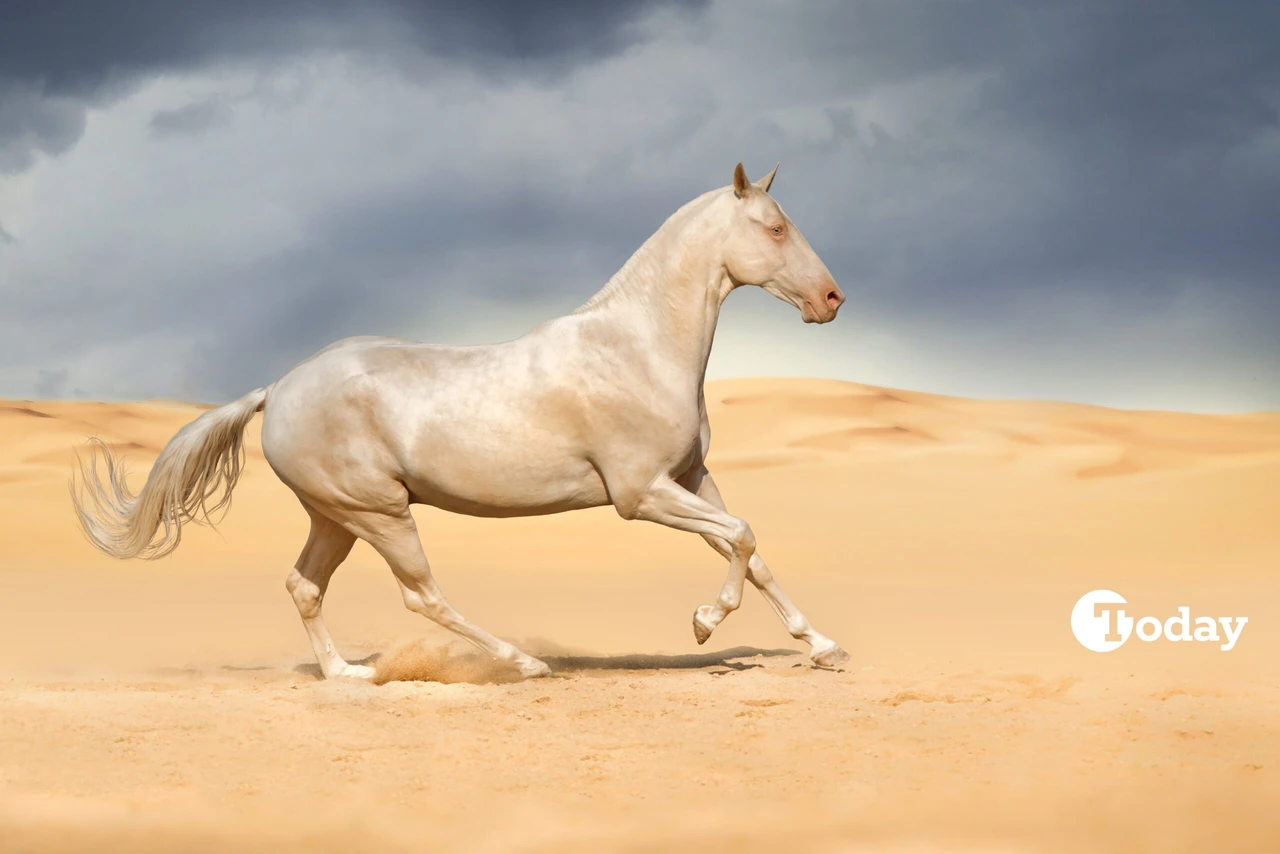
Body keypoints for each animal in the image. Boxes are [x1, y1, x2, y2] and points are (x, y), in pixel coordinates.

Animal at [70, 161, 849, 681]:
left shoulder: (690, 478)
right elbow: (742, 539)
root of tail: (277, 389)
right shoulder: (641, 494)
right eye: (776, 228)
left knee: (305, 587)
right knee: (422, 596)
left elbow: (750, 549)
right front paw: (703, 624)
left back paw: (349, 676)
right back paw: (523, 662)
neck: (636, 347)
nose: (832, 299)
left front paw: (822, 646)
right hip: (380, 515)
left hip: (335, 517)